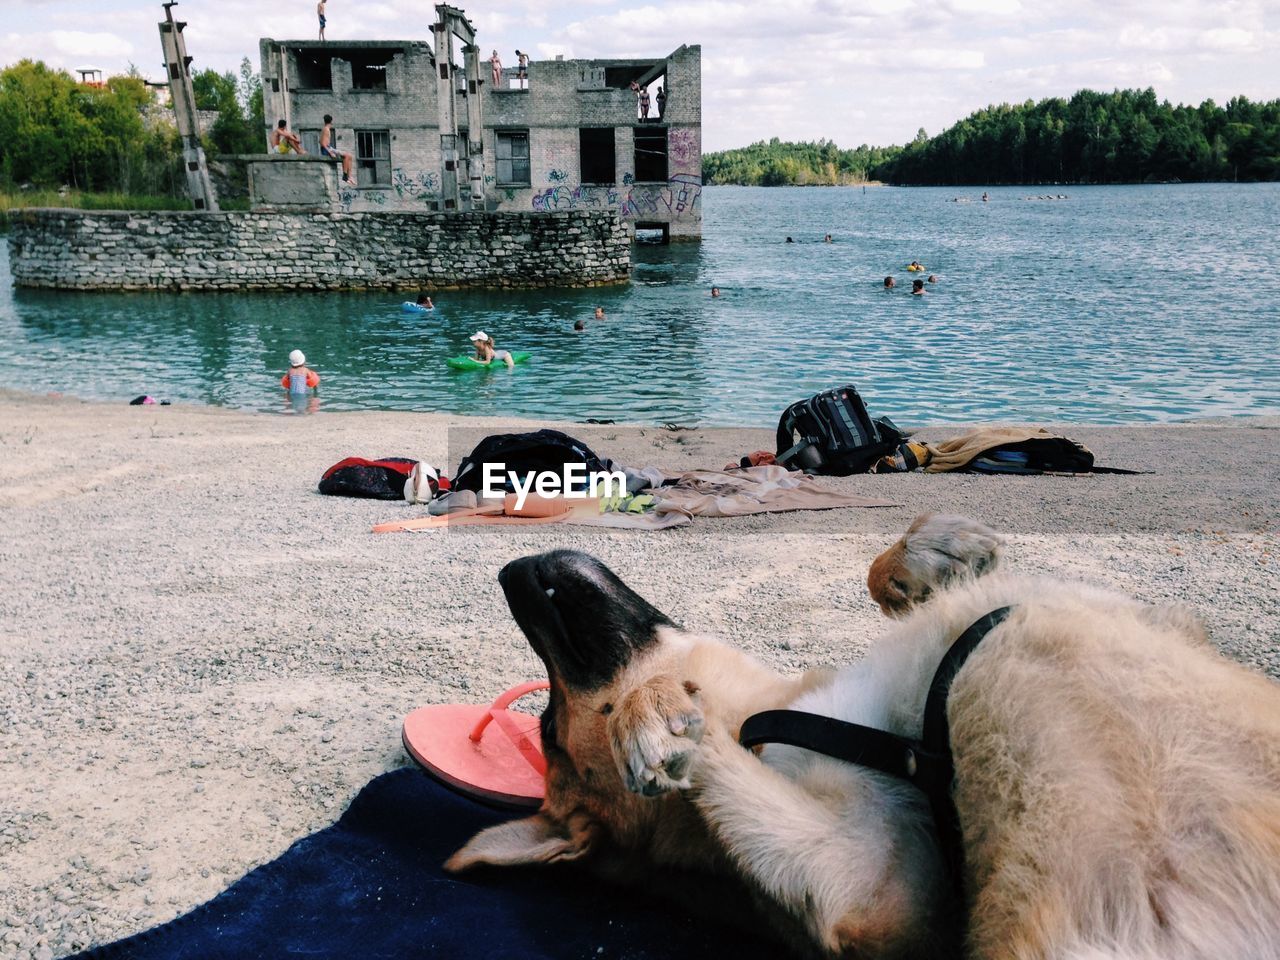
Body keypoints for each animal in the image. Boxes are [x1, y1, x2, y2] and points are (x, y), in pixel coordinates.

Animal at [448, 519, 1280, 960]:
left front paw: (934, 555)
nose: (507, 570)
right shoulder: (882, 893)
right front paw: (653, 720)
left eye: (544, 725)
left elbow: (897, 572)